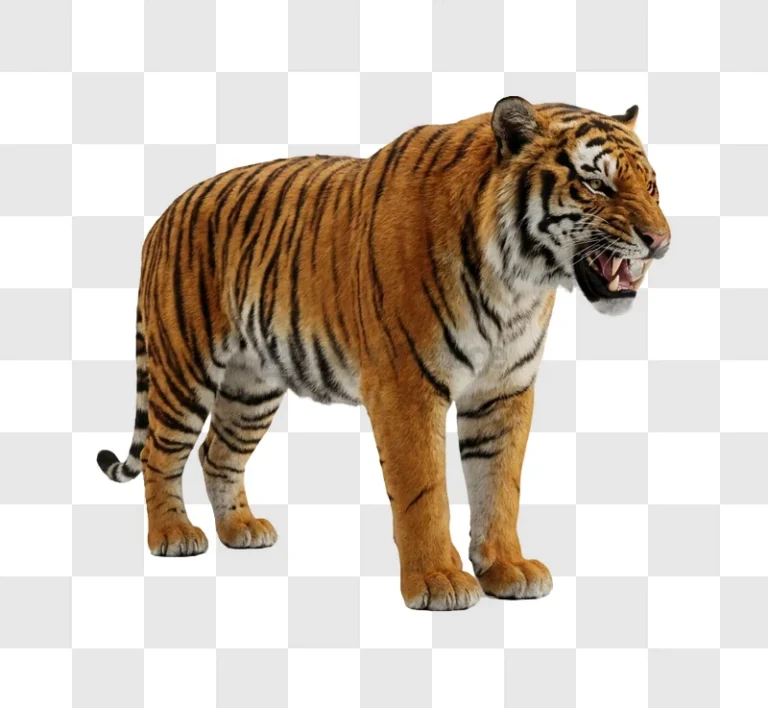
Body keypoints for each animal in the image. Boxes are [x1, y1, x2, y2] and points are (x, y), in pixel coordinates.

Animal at [97, 96, 670, 611]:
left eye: (651, 186)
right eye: (596, 184)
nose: (660, 242)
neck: (518, 282)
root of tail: (165, 214)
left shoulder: (503, 390)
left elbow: (499, 485)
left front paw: (507, 569)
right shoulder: (408, 386)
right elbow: (423, 490)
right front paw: (439, 581)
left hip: (251, 386)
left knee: (217, 452)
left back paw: (240, 528)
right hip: (184, 369)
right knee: (161, 453)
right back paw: (173, 535)